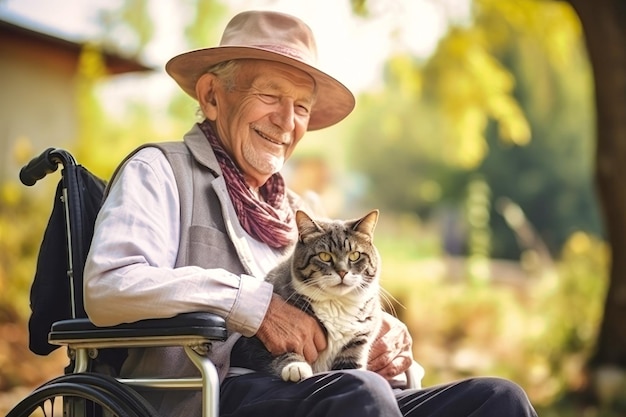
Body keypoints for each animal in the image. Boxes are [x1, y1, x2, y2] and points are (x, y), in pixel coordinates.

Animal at [230, 210, 380, 382]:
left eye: (355, 255)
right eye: (324, 256)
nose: (342, 272)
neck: (335, 303)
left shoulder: (358, 340)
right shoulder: (258, 343)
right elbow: (282, 352)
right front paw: (296, 366)